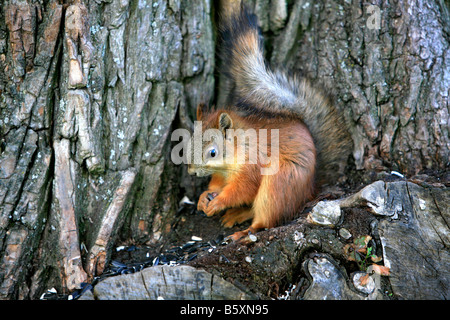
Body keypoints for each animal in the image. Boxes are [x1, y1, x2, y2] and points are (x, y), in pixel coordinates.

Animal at [187, 4, 352, 240]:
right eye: (189, 143)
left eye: (212, 152)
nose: (192, 172)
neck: (237, 150)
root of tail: (310, 188)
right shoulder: (222, 173)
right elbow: (218, 184)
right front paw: (204, 197)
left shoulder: (253, 166)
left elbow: (242, 189)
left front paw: (219, 202)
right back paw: (237, 215)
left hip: (278, 184)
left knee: (265, 220)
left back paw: (243, 233)